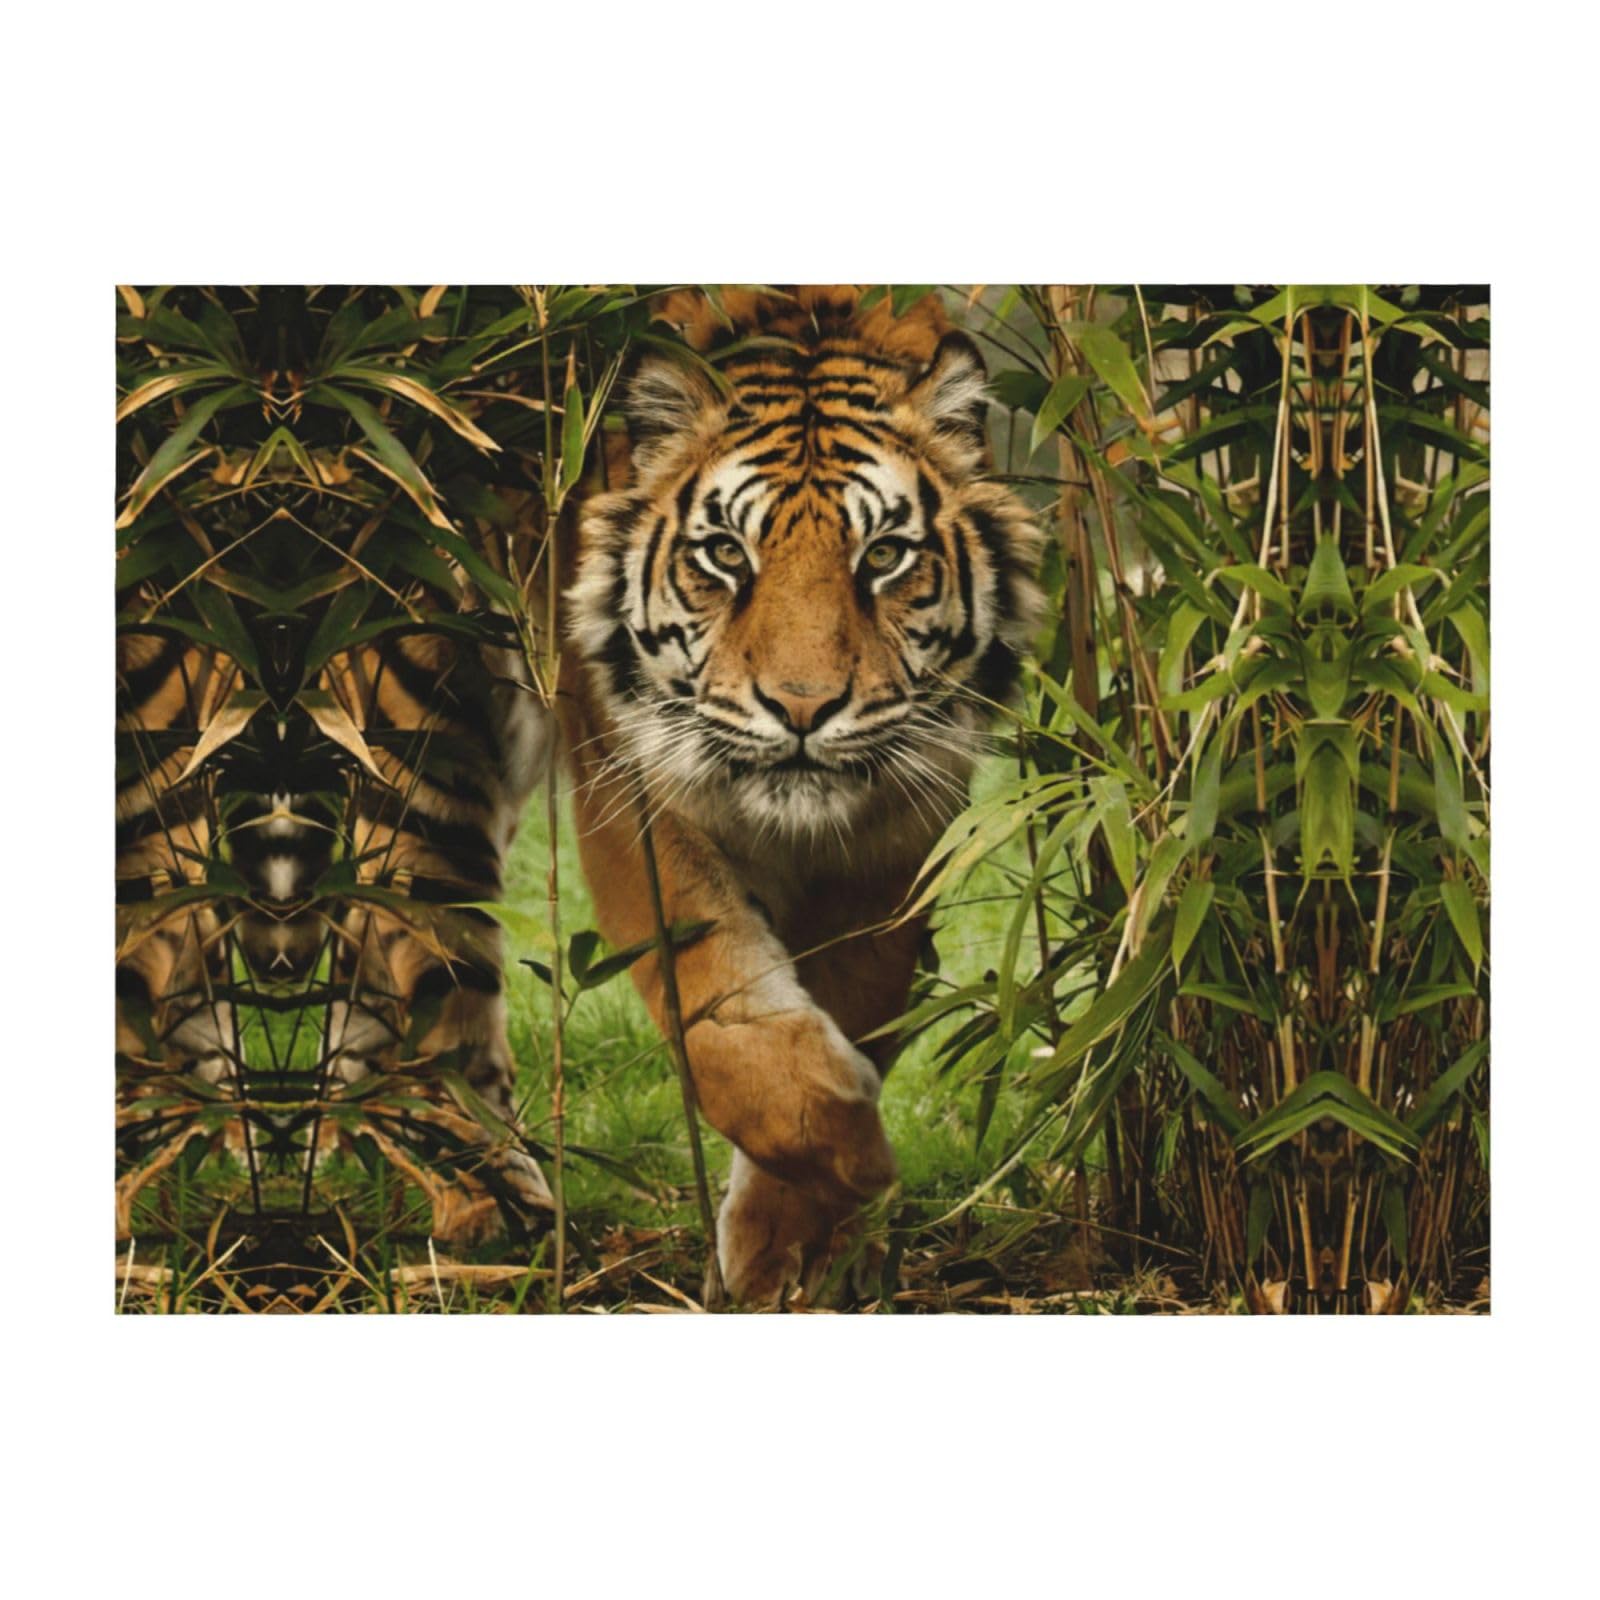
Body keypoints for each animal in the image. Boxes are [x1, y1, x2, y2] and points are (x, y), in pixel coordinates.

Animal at [563, 287, 1043, 1303]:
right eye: (723, 554)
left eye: (886, 556)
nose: (802, 707)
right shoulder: (628, 780)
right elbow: (715, 1001)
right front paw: (853, 1153)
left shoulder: (900, 833)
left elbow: (855, 1001)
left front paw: (793, 1246)